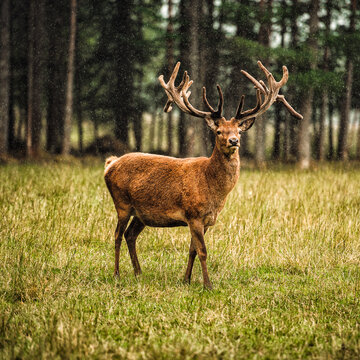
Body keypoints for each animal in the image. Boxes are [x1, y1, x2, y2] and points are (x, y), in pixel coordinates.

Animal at [104, 59, 300, 290]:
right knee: (117, 235)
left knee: (130, 235)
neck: (212, 189)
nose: (234, 140)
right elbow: (203, 251)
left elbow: (192, 251)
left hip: (141, 213)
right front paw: (208, 285)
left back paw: (138, 272)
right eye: (219, 131)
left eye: (239, 131)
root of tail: (110, 164)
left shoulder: (206, 219)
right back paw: (117, 274)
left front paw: (186, 280)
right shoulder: (193, 214)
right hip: (122, 203)